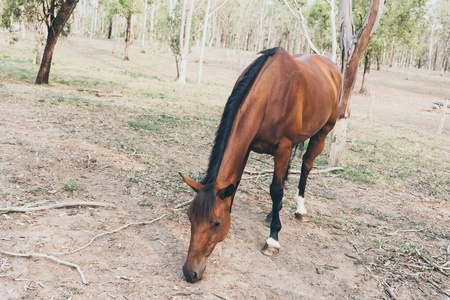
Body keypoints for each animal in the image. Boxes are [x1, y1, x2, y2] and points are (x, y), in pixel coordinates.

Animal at [179, 46, 342, 282]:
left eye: (216, 223)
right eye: (190, 216)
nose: (190, 272)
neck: (271, 93)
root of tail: (331, 67)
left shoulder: (282, 148)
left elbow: (276, 190)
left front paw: (273, 239)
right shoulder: (247, 146)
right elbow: (238, 183)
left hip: (322, 133)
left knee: (306, 166)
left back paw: (300, 209)